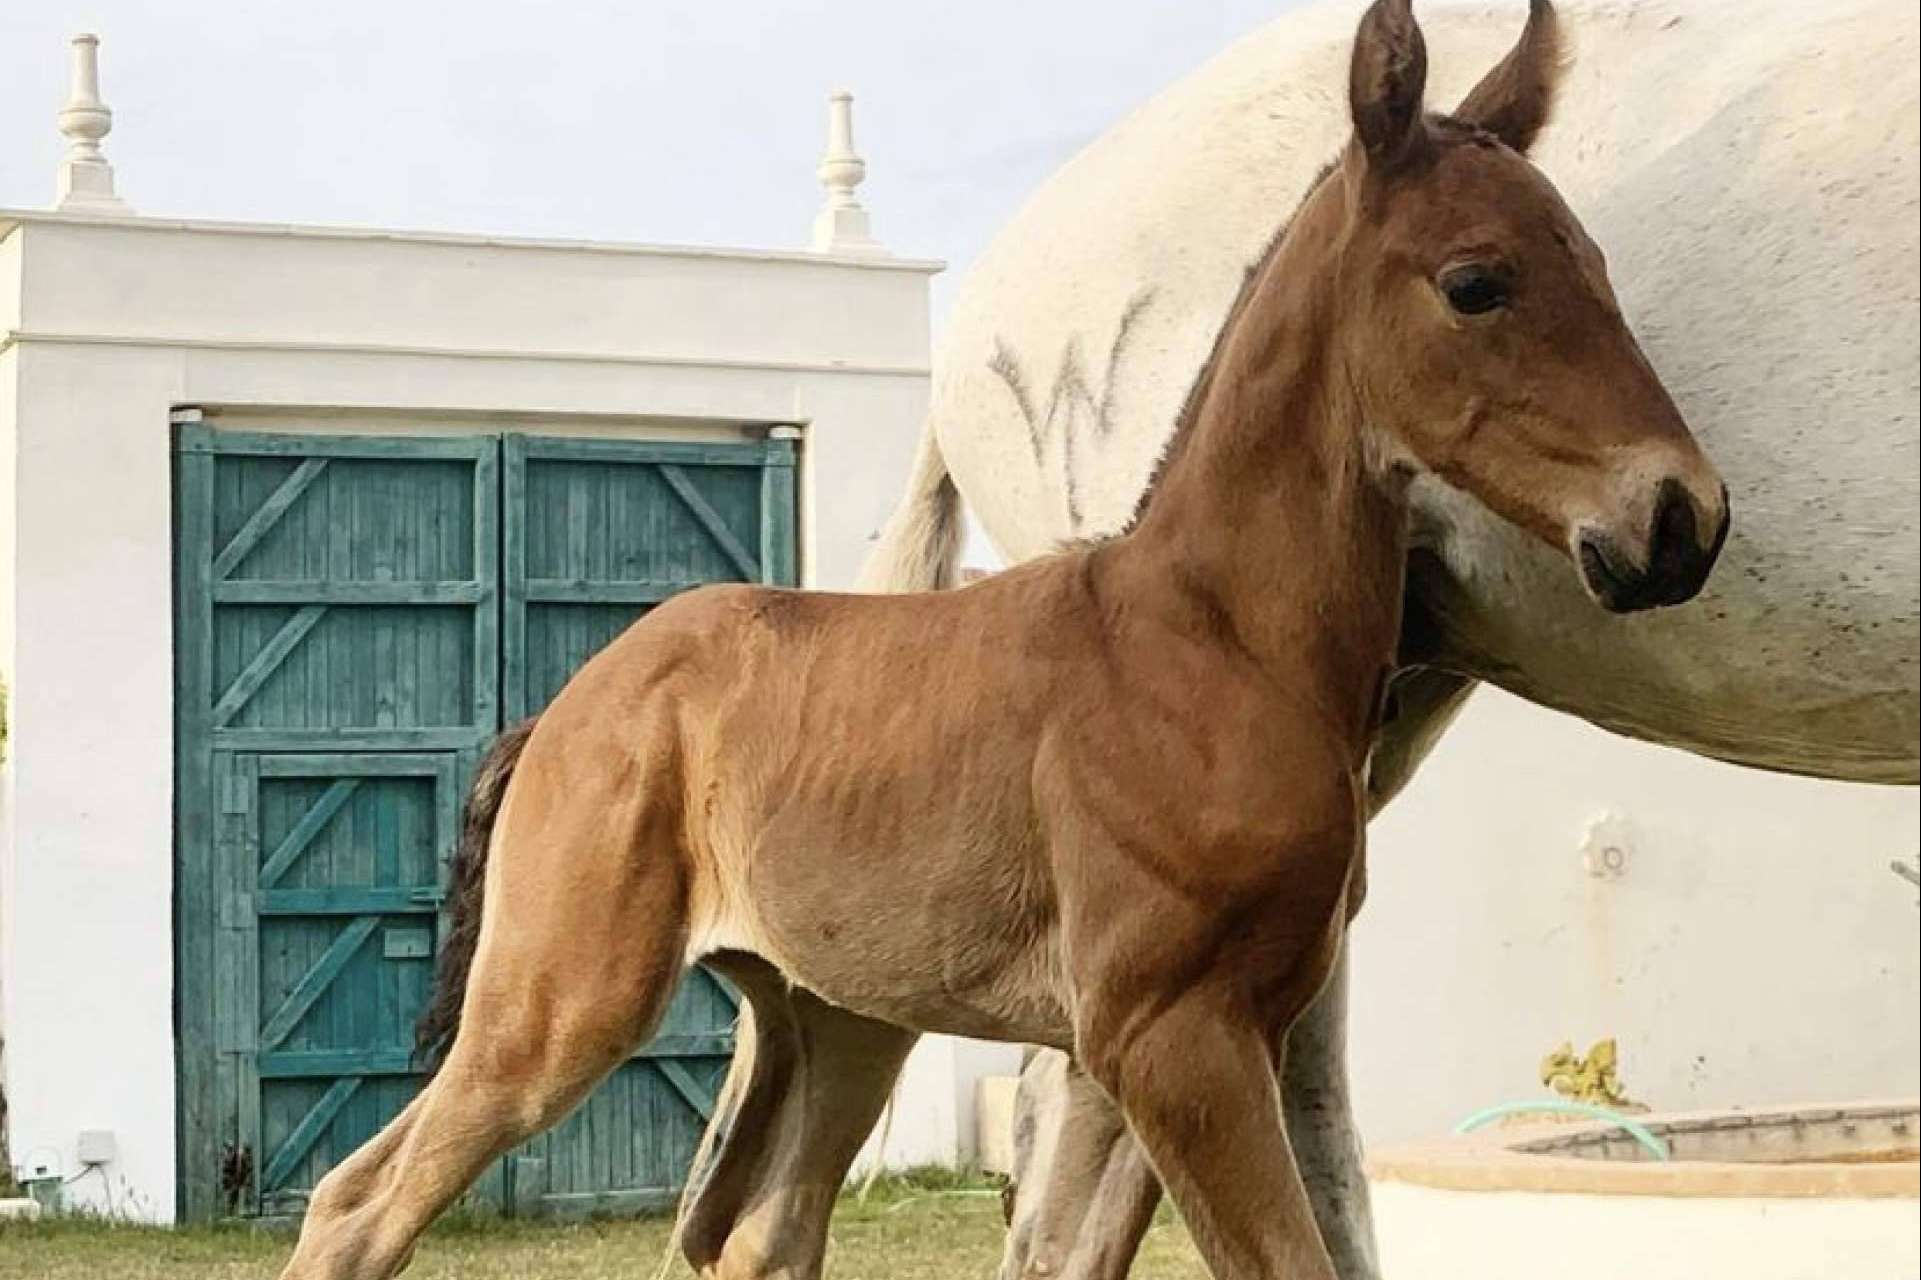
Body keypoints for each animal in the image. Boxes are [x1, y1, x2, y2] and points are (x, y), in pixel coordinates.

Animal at [275, 2, 1728, 1275]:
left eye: (1598, 269)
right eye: (1477, 283)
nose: (1682, 518)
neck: (1217, 643)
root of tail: (566, 708)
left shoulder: (1209, 1030)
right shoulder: (1166, 1033)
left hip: (834, 1022)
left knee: (753, 1233)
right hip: (558, 1003)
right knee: (357, 1204)